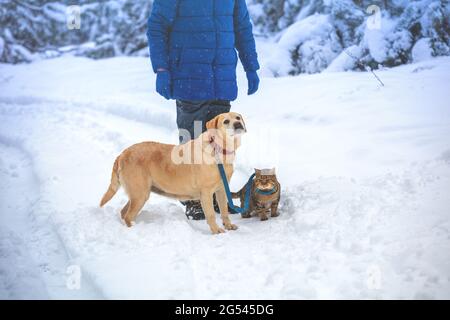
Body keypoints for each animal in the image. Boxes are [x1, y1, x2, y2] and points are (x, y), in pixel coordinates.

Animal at [99, 112, 246, 235]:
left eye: (238, 118)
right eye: (226, 121)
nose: (238, 124)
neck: (219, 150)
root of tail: (122, 154)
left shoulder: (221, 190)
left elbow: (224, 211)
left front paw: (228, 225)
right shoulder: (206, 193)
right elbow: (210, 215)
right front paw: (216, 231)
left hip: (138, 194)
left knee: (123, 212)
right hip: (140, 194)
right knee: (128, 216)